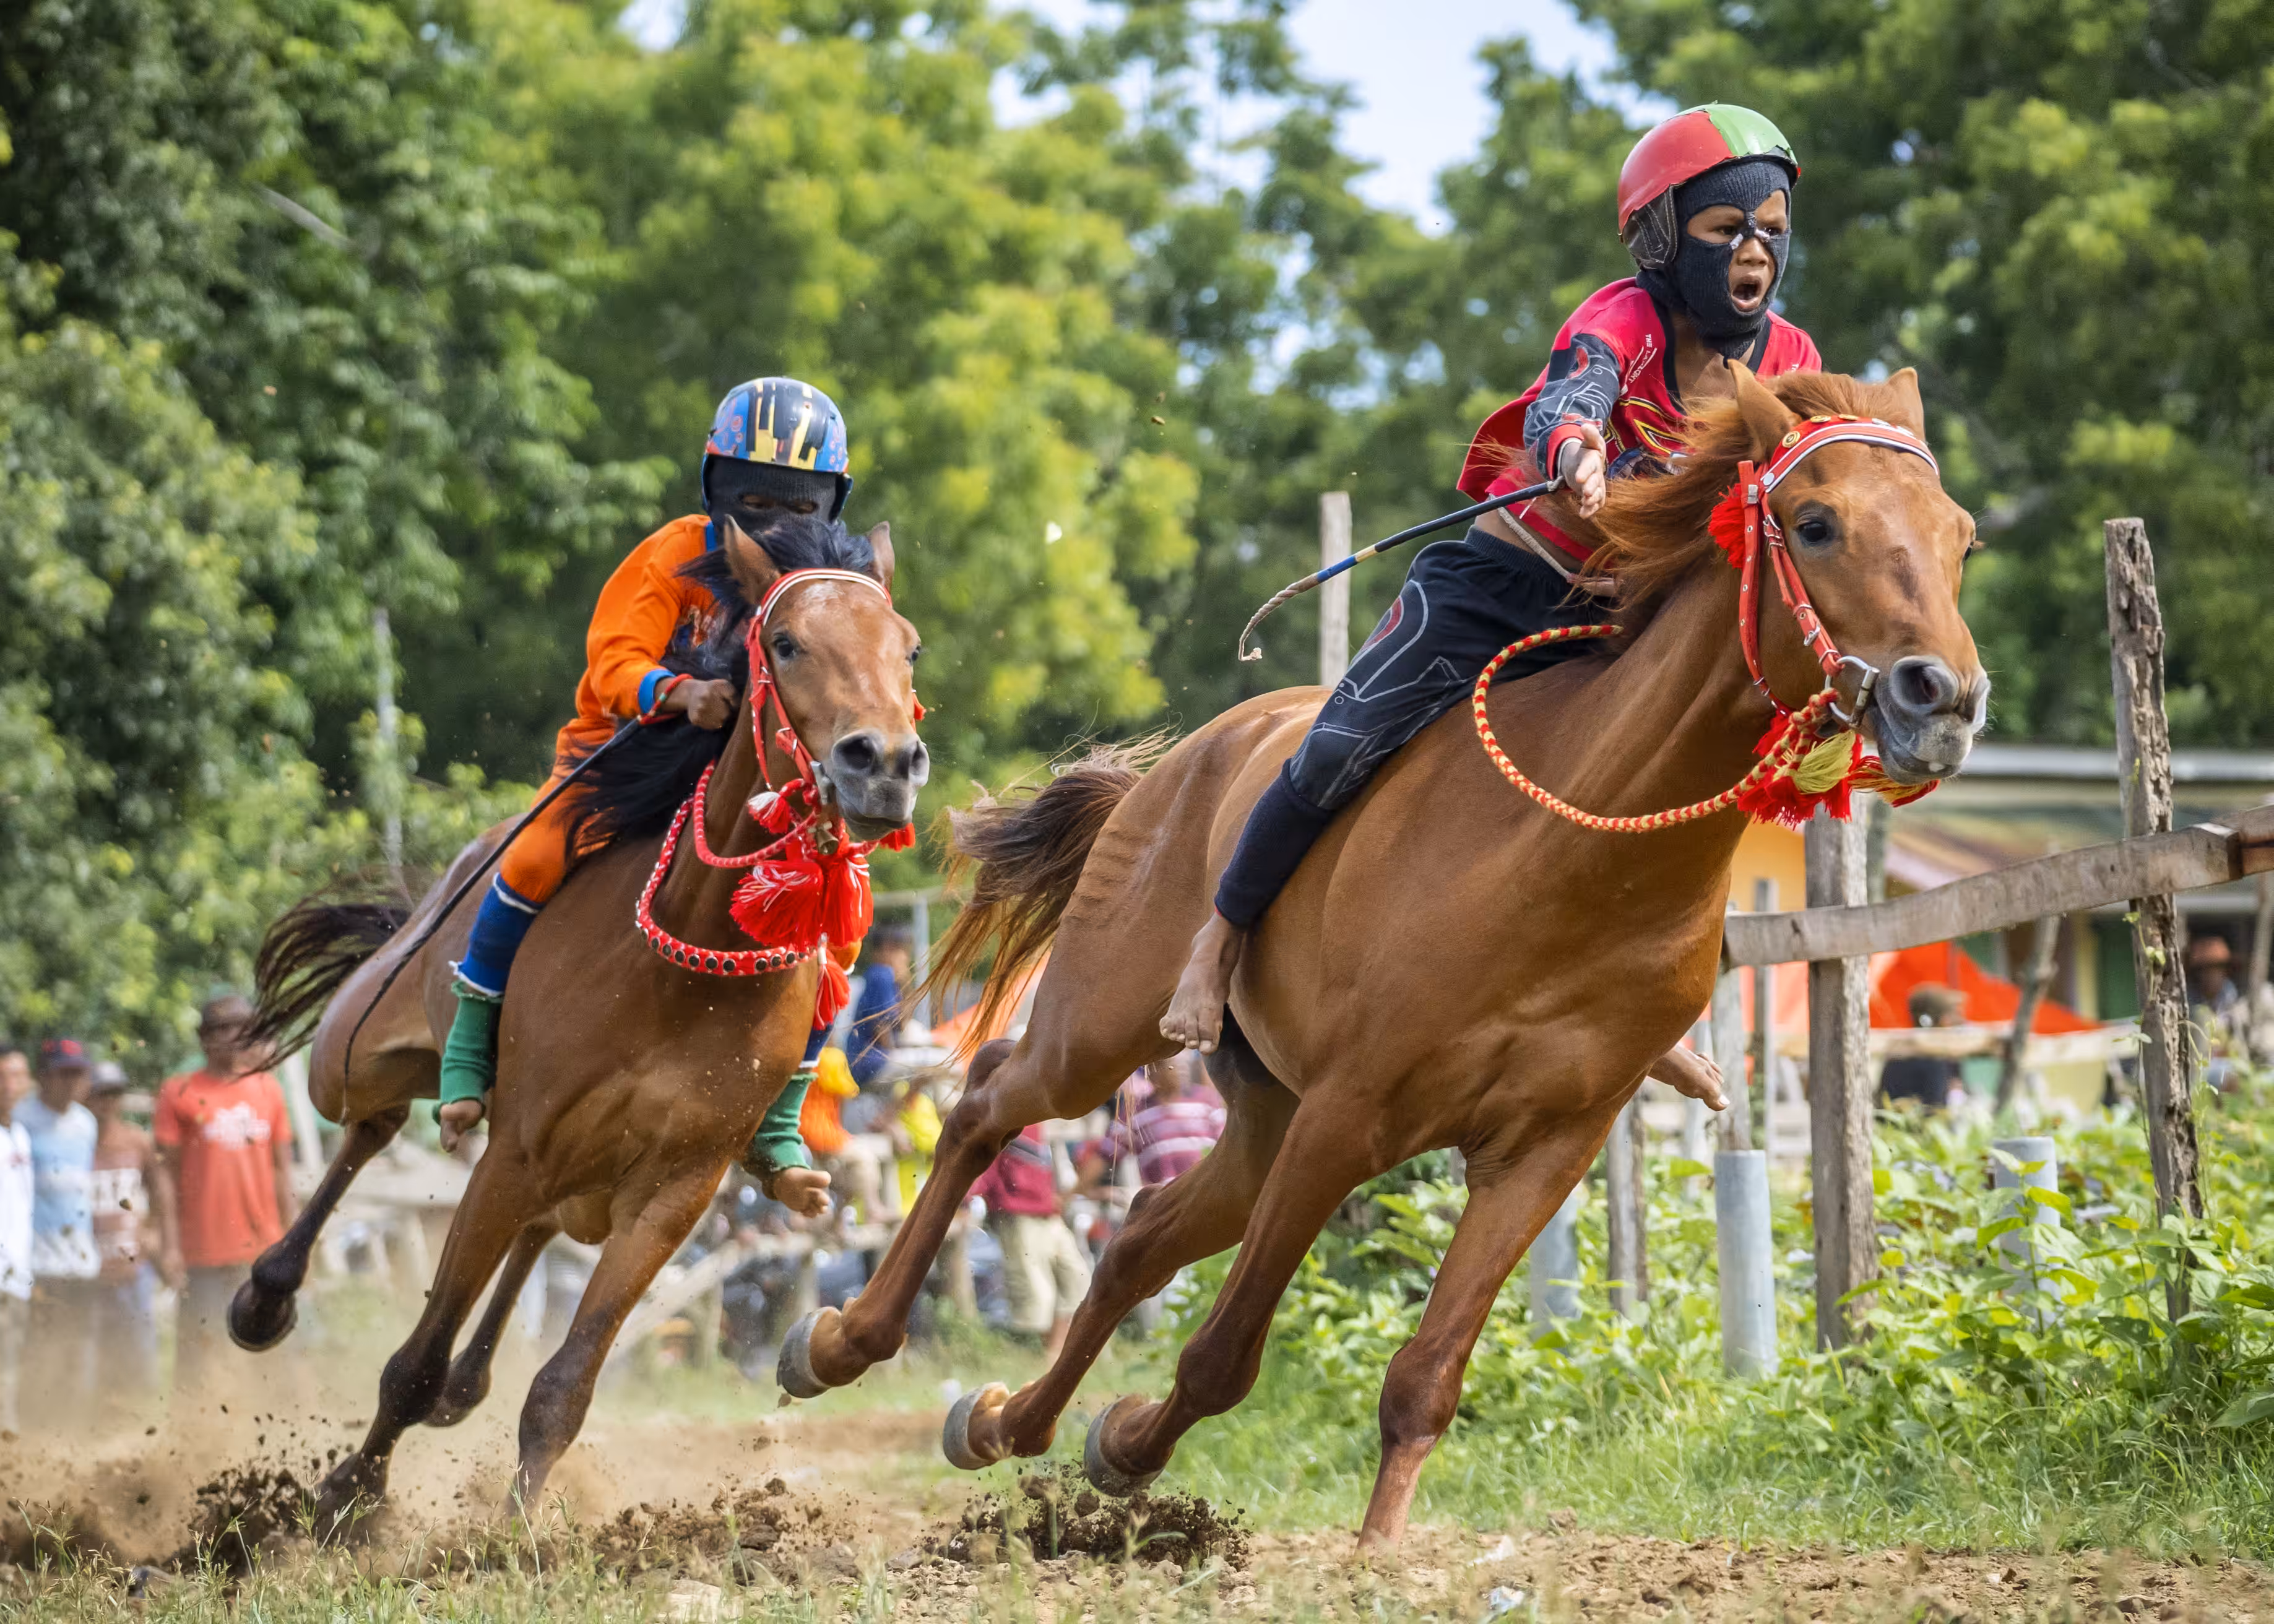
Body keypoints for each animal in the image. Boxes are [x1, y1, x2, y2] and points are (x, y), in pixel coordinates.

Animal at [236, 514, 926, 1524]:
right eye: (787, 644)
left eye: (906, 649)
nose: (883, 764)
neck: (686, 965)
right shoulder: (512, 1154)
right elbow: (411, 1364)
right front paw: (348, 1498)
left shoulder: (671, 1195)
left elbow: (563, 1386)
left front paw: (517, 1530)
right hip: (353, 1056)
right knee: (367, 1128)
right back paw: (266, 1296)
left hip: (583, 1181)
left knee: (525, 1238)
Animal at [773, 366, 1987, 1551]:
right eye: (1814, 522)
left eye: (1959, 536)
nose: (1941, 695)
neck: (1578, 859)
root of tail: (1173, 771)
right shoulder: (1346, 1113)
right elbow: (1223, 1354)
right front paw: (1144, 1446)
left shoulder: (1542, 1146)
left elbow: (1424, 1378)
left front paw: (1352, 1542)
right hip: (1101, 1031)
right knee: (986, 1103)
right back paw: (841, 1342)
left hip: (1256, 1117)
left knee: (1137, 1237)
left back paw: (1008, 1423)